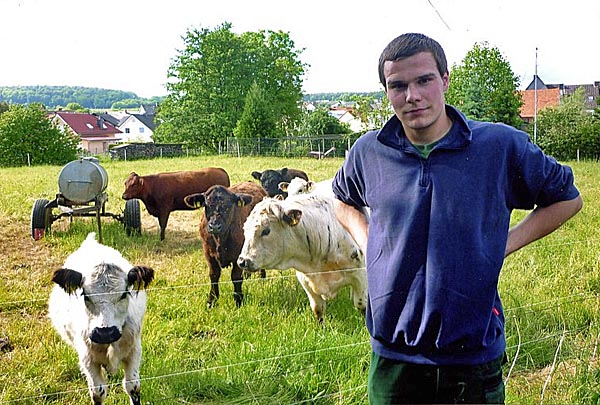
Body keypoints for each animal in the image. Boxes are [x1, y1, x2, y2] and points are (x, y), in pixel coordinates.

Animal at [48, 232, 155, 402]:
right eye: (85, 296)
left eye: (124, 294)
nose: (105, 333)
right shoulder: (87, 359)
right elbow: (98, 392)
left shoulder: (134, 351)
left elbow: (133, 387)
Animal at [238, 193, 368, 322]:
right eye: (244, 228)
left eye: (266, 231)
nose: (242, 261)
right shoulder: (305, 280)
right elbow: (318, 309)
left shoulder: (361, 274)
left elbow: (362, 304)